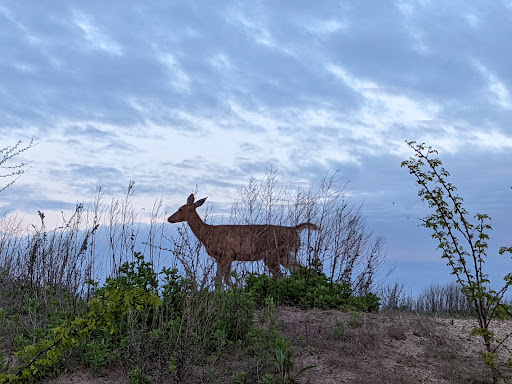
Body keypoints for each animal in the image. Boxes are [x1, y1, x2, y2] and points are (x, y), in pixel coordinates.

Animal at [169, 194, 320, 286]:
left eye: (180, 208)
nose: (169, 218)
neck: (207, 234)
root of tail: (294, 230)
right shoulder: (219, 258)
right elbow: (218, 281)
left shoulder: (227, 255)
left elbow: (226, 280)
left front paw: (236, 291)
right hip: (285, 254)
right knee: (299, 269)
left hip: (273, 253)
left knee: (281, 275)